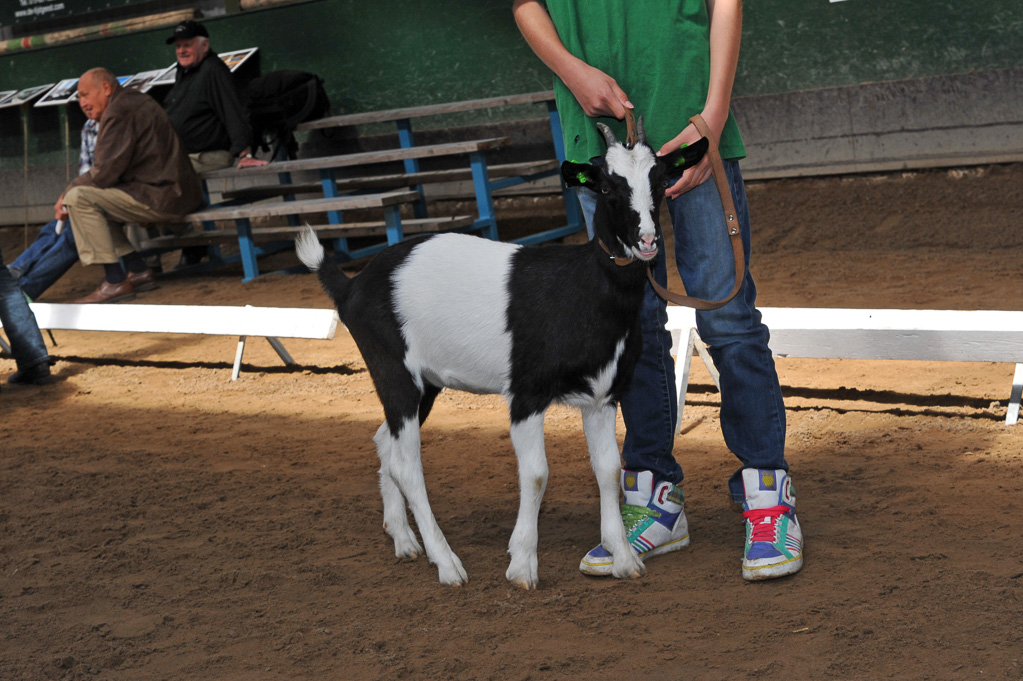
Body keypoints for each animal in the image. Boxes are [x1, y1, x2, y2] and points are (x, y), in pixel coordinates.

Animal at [298, 120, 707, 584]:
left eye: (661, 182)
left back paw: (403, 538)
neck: (584, 287)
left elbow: (607, 469)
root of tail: (351, 287)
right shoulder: (526, 395)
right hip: (392, 368)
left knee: (386, 441)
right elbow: (536, 474)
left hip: (425, 384)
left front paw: (621, 557)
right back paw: (446, 563)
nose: (647, 240)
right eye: (605, 187)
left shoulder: (602, 396)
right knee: (407, 464)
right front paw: (522, 563)